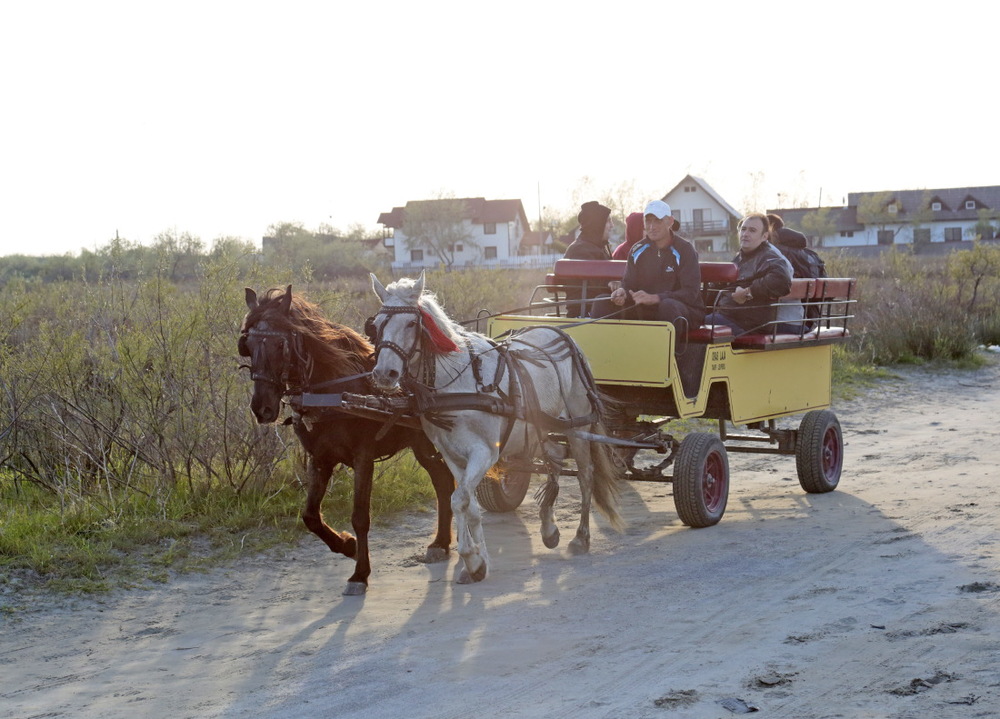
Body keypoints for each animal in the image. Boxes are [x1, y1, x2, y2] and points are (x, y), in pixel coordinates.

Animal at [240, 286, 452, 596]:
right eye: (248, 343)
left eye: (281, 344)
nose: (261, 408)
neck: (332, 391)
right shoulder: (320, 459)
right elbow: (310, 516)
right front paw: (347, 546)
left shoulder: (363, 458)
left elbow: (360, 517)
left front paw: (360, 573)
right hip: (422, 445)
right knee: (442, 480)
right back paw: (441, 542)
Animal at [370, 272, 616, 584]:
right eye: (377, 324)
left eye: (412, 323)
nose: (384, 373)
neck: (457, 383)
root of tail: (562, 333)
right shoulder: (452, 454)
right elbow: (468, 504)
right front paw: (478, 560)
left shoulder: (484, 453)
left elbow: (459, 499)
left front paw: (472, 558)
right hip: (536, 430)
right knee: (556, 458)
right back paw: (548, 528)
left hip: (578, 425)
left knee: (585, 474)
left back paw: (581, 538)